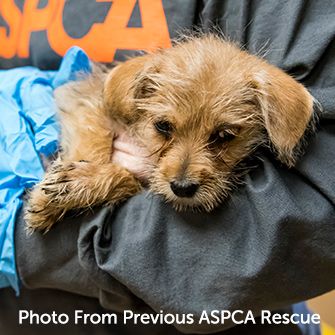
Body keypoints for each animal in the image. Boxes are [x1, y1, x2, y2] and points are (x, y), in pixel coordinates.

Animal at [25, 35, 316, 232]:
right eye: (163, 126)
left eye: (224, 136)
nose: (182, 188)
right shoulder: (84, 101)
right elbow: (93, 142)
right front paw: (65, 187)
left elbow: (129, 180)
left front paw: (79, 183)